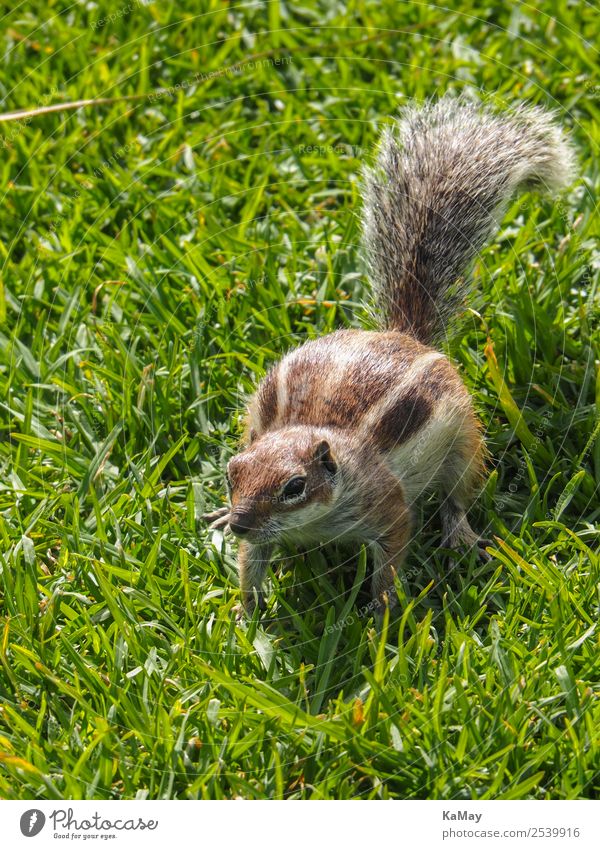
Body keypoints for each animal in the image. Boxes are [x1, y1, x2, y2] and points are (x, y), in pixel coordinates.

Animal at [206, 96, 576, 616]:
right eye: (231, 472)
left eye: (294, 487)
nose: (240, 521)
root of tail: (404, 336)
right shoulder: (261, 532)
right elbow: (251, 561)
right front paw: (245, 612)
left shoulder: (388, 508)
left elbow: (393, 557)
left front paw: (380, 615)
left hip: (464, 441)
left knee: (458, 494)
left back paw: (461, 536)